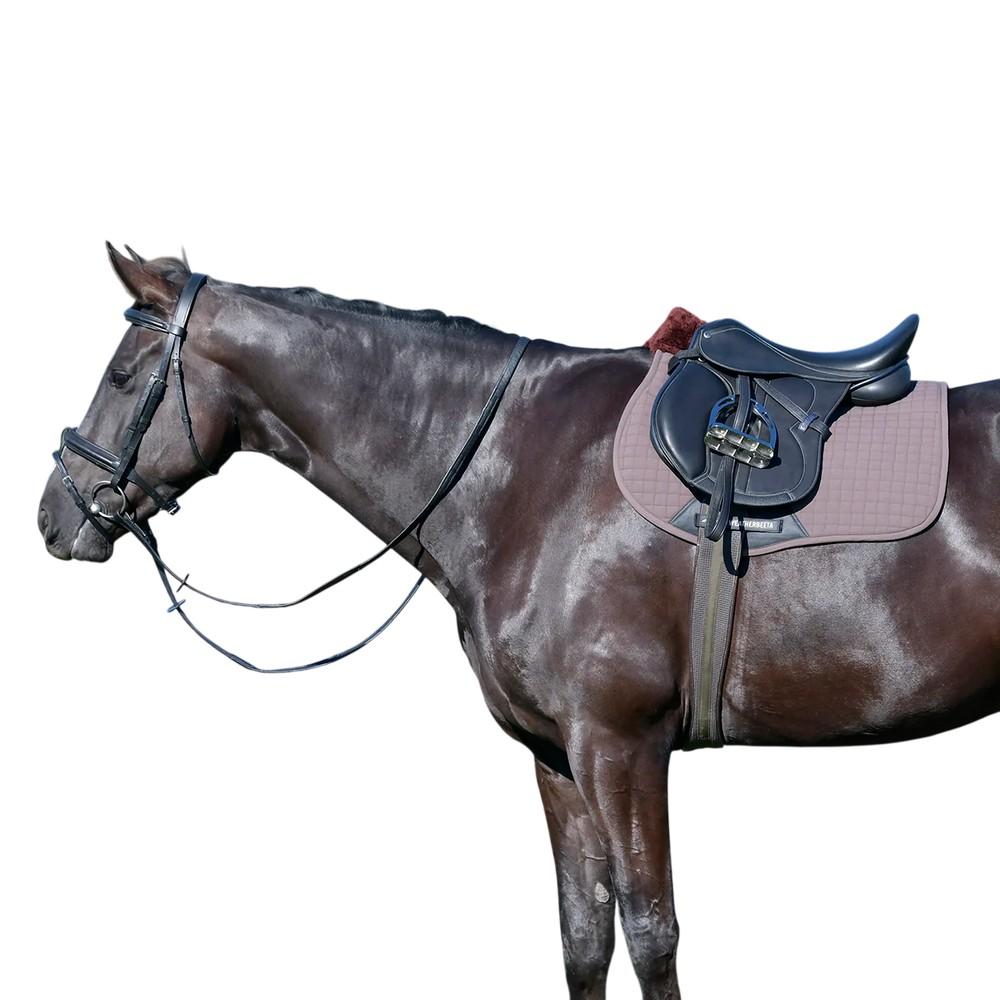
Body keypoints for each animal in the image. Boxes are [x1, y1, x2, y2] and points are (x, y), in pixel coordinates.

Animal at [38, 247, 1000, 999]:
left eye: (121, 375)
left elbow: (652, 934)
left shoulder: (621, 747)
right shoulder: (558, 758)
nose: (54, 515)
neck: (525, 466)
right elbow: (585, 937)